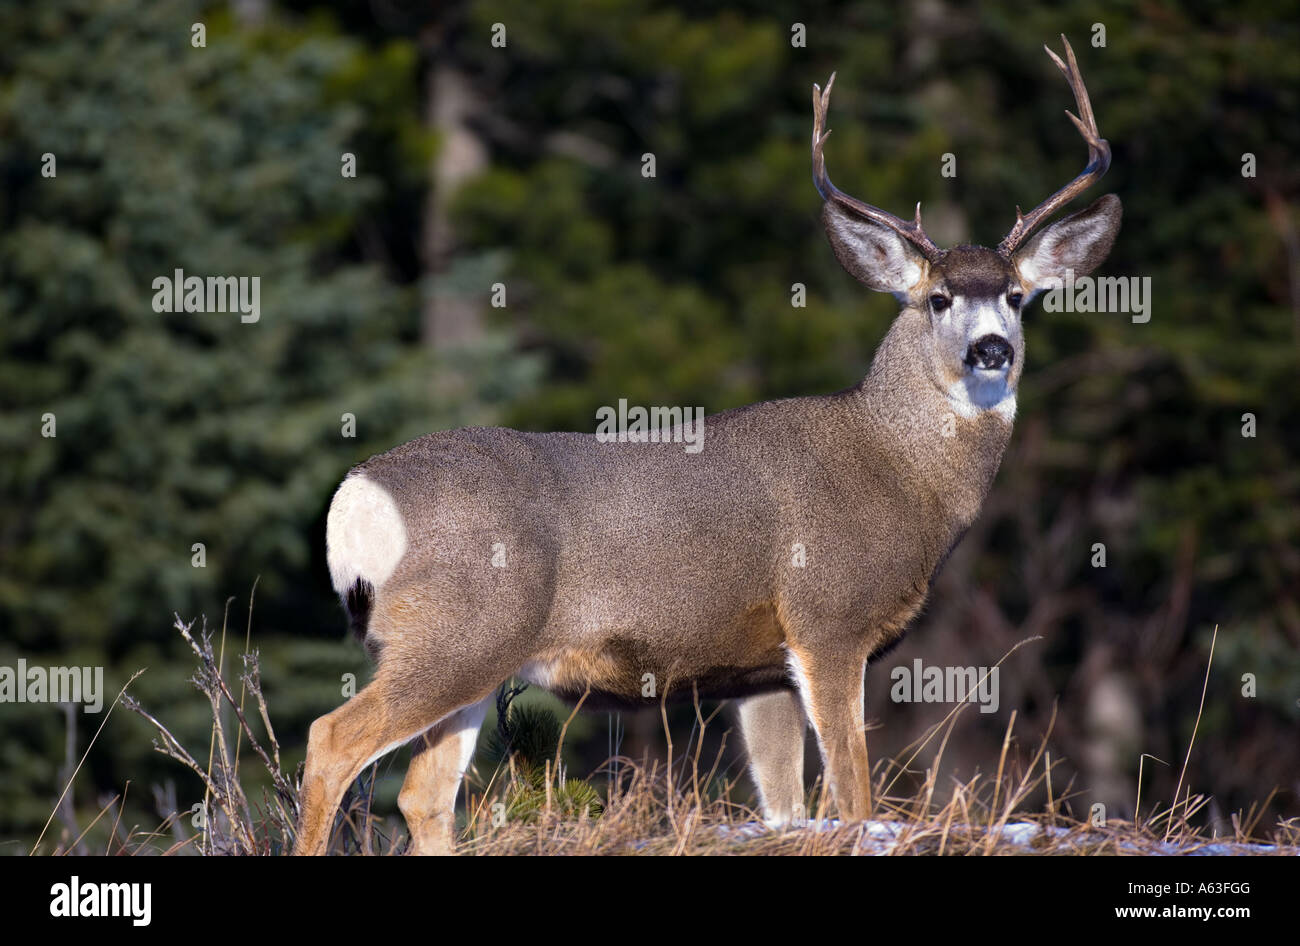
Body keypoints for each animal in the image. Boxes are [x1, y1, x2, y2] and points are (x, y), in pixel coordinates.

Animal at [294, 36, 1121, 855]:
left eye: (1016, 297)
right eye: (939, 298)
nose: (991, 350)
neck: (893, 470)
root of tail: (357, 492)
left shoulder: (761, 671)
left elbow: (785, 804)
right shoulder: (828, 618)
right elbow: (852, 795)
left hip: (468, 652)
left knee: (422, 795)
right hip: (461, 629)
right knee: (332, 739)